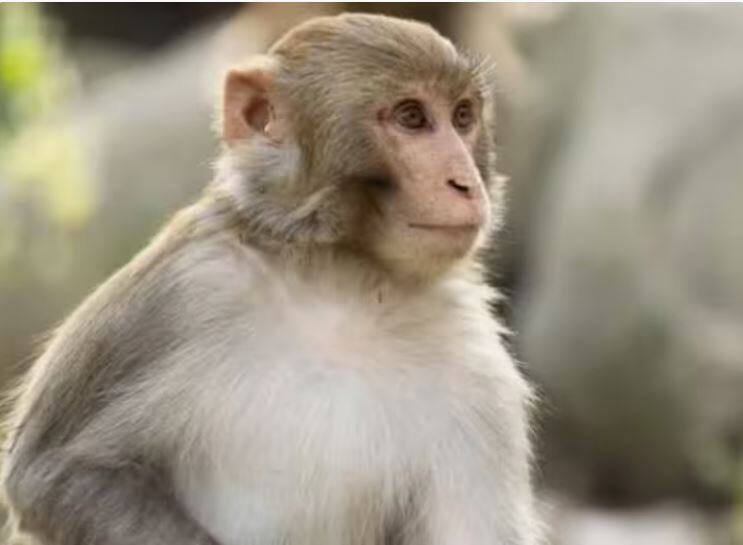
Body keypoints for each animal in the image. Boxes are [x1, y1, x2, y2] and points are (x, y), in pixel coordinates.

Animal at [1, 13, 539, 545]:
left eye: (463, 117)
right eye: (412, 118)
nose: (465, 183)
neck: (342, 282)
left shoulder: (476, 367)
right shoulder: (181, 288)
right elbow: (53, 473)